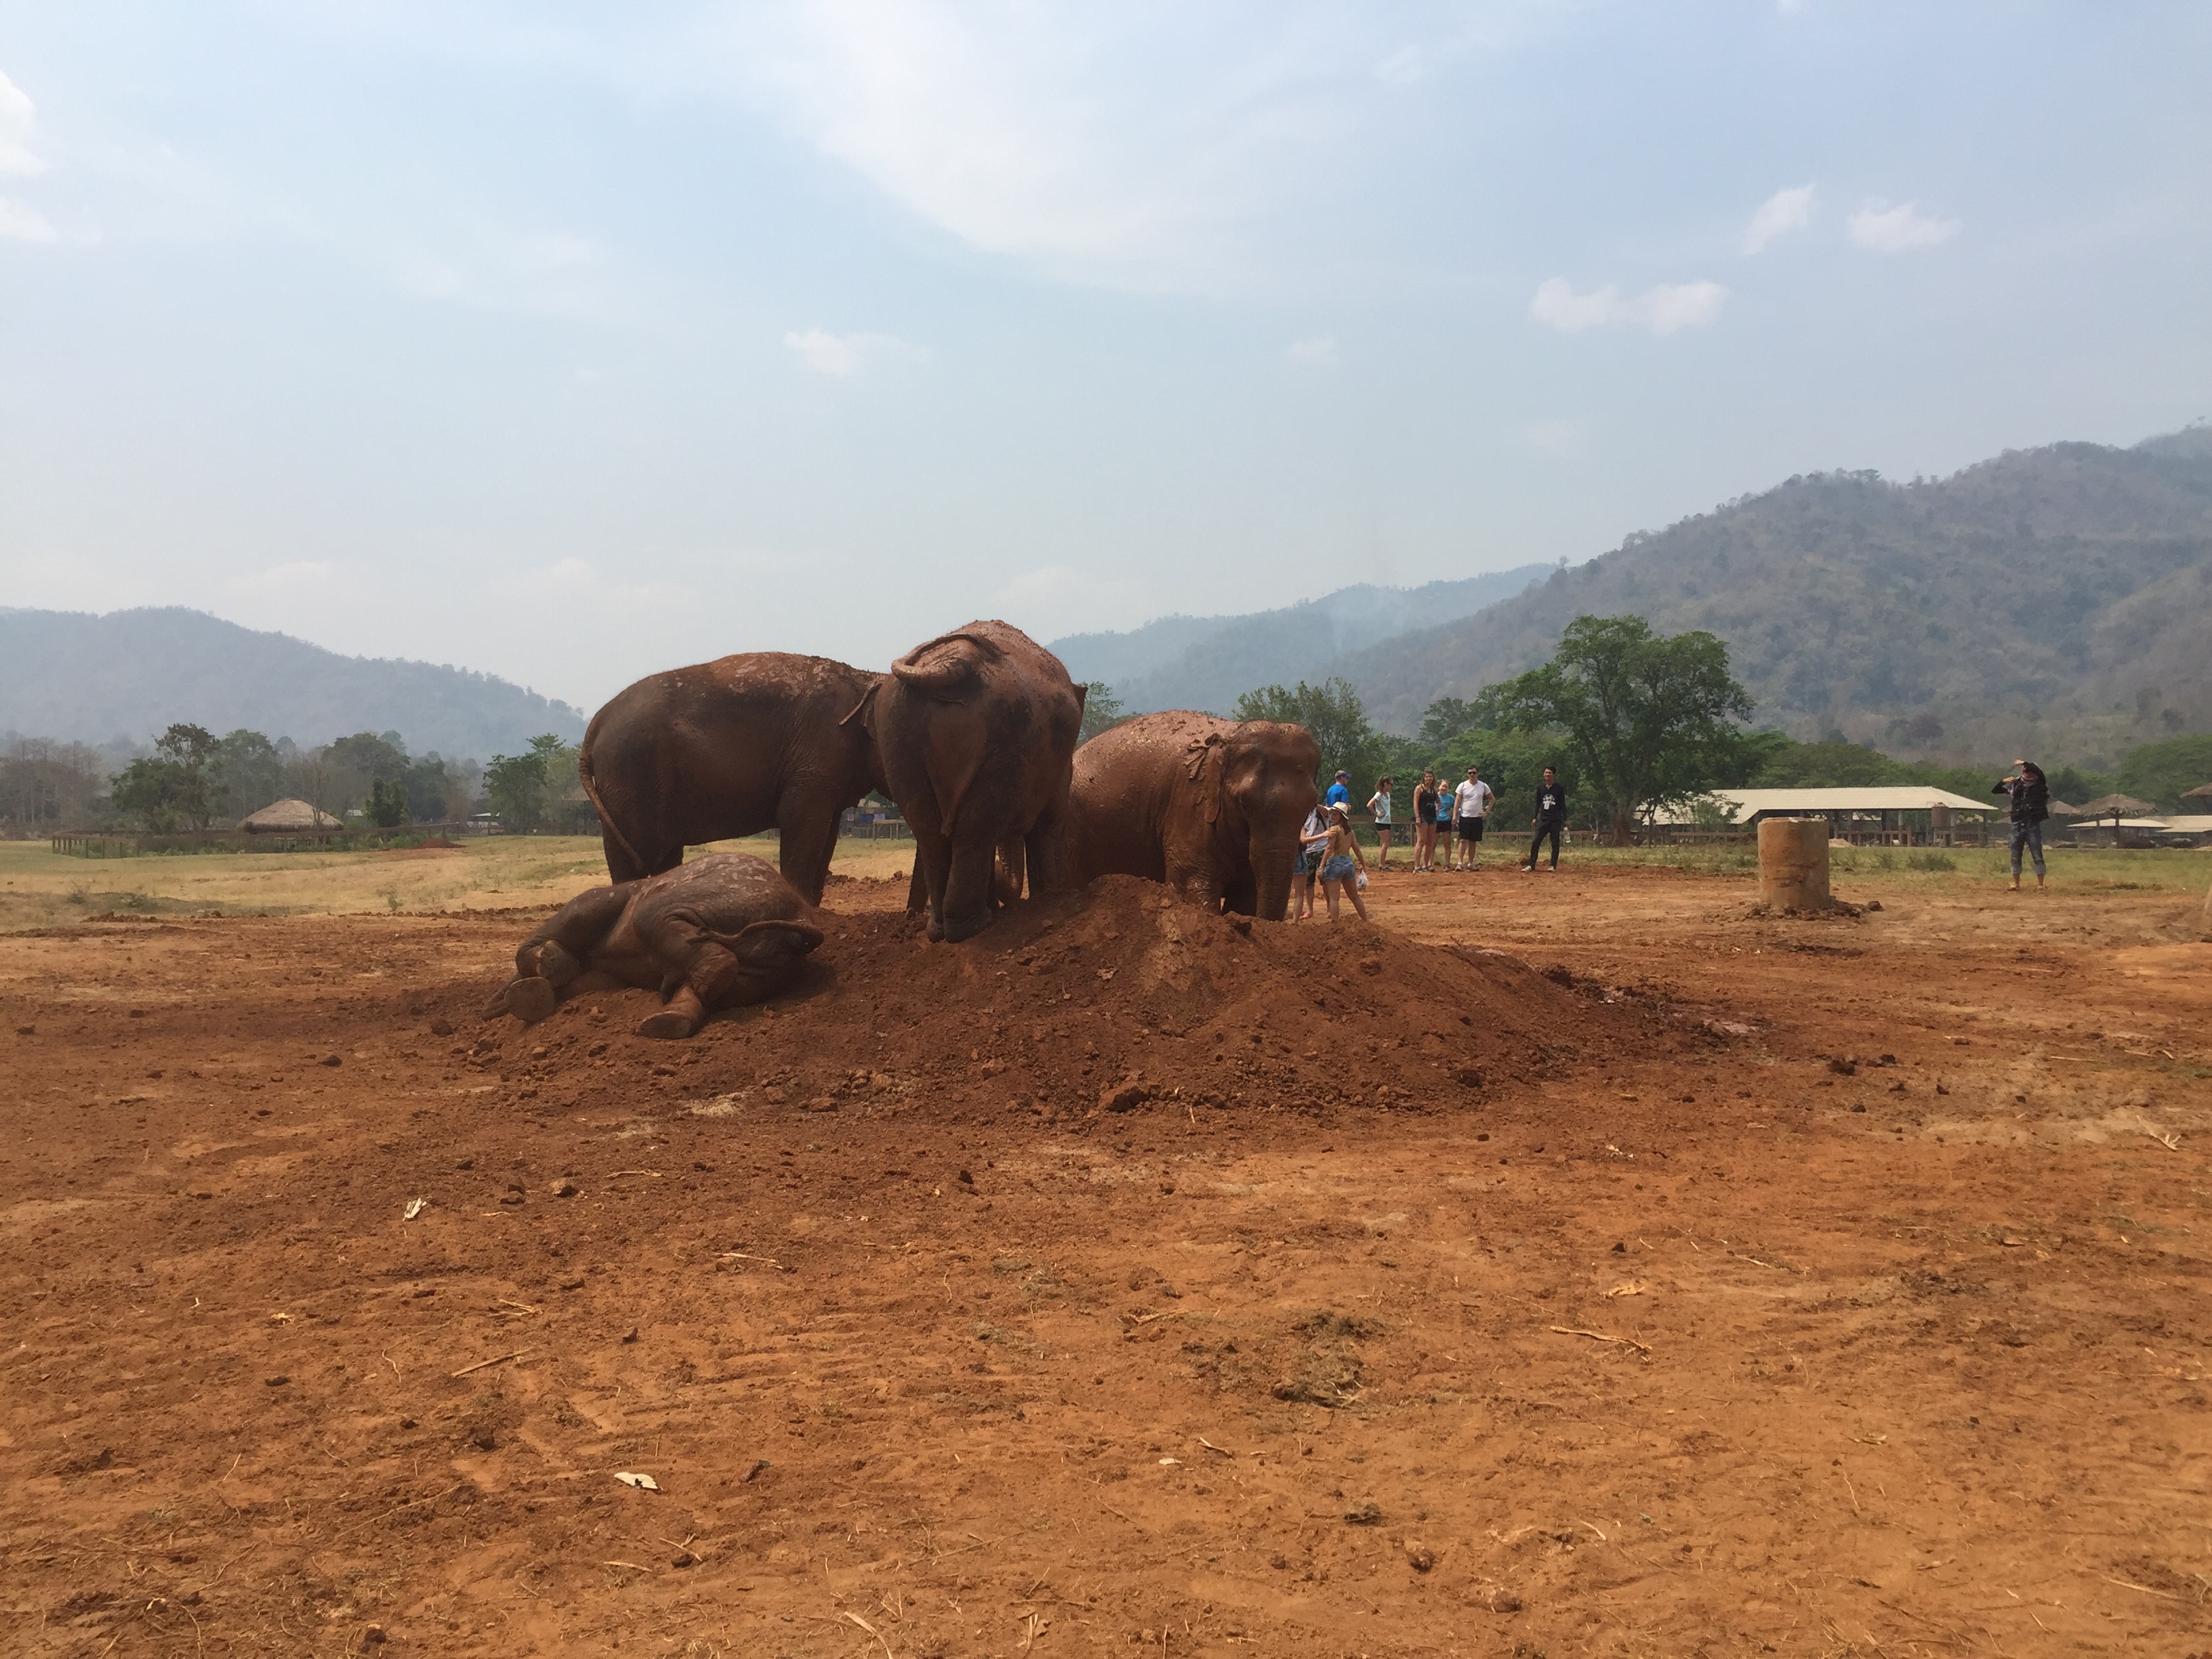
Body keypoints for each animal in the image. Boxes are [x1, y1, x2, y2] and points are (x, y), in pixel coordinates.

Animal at [483, 852, 824, 1040]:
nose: (487, 1013)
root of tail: (800, 917)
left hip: (731, 895)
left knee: (651, 916)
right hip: (768, 966)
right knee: (724, 987)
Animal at [577, 652, 884, 902]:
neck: (864, 678)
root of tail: (596, 723)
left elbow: (827, 831)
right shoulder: (817, 755)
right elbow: (797, 819)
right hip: (630, 775)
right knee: (634, 862)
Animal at [851, 620, 1085, 944]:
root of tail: (952, 663)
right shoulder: (1059, 768)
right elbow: (1046, 825)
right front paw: (1048, 899)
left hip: (896, 735)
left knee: (929, 828)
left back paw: (943, 930)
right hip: (1007, 737)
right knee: (977, 828)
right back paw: (974, 925)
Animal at [1066, 712, 1321, 921]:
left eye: (1311, 804)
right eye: (1243, 802)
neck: (1226, 740)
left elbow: (1245, 899)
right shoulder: (1189, 807)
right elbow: (1191, 889)